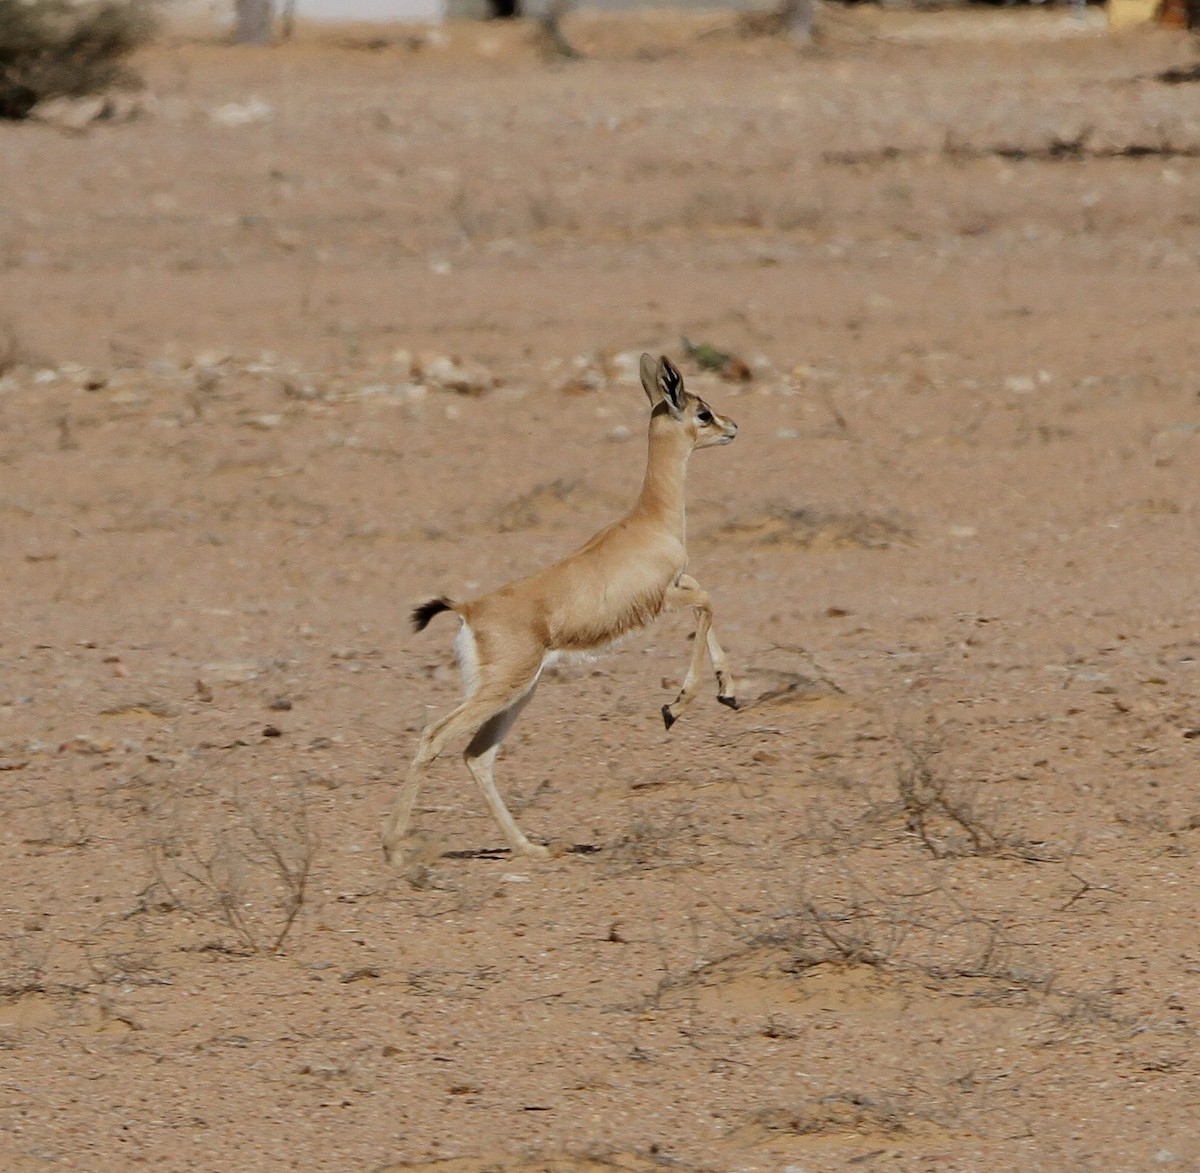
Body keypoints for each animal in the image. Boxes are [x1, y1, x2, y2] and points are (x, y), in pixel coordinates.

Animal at [382, 354, 739, 865]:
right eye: (702, 412)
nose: (733, 426)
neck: (650, 519)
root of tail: (469, 608)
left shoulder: (679, 583)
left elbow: (708, 605)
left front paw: (728, 692)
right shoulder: (665, 597)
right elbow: (708, 604)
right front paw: (675, 707)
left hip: (519, 691)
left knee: (477, 755)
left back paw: (529, 847)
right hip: (504, 688)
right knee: (435, 735)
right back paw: (393, 849)